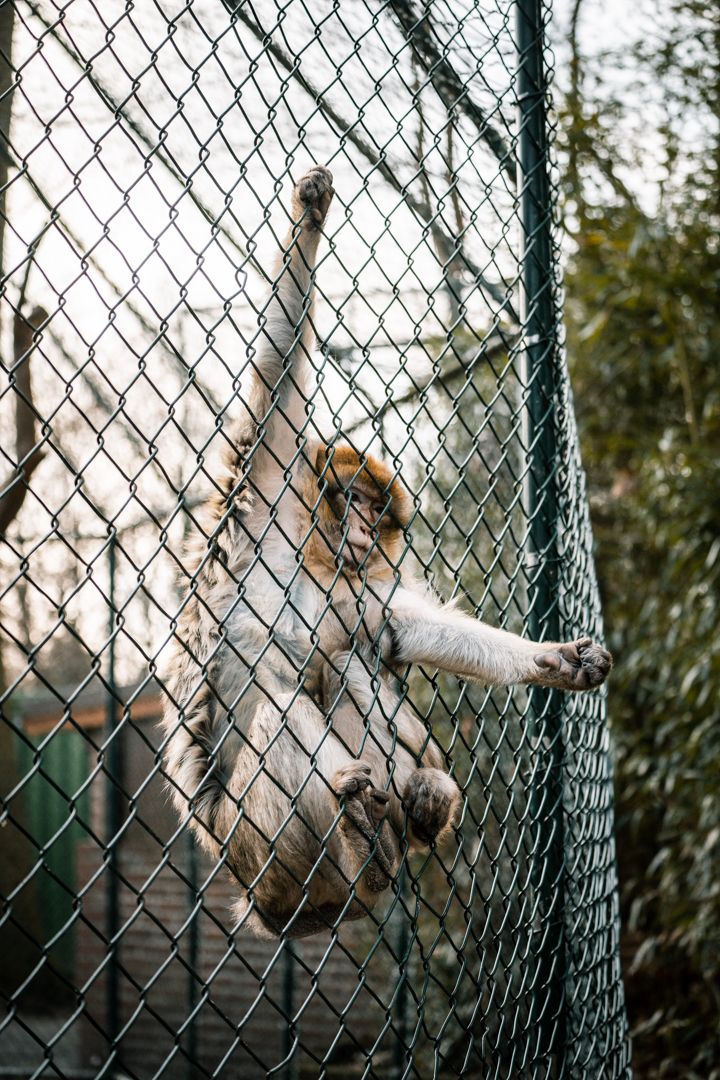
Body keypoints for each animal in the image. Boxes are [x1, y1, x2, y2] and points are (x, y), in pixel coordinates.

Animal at [160, 166, 612, 940]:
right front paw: (308, 213)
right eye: (359, 501)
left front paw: (552, 660)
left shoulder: (346, 581)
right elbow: (277, 379)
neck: (309, 564)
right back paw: (365, 852)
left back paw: (404, 825)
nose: (369, 531)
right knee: (285, 707)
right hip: (258, 840)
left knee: (347, 663)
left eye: (379, 511)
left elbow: (398, 630)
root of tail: (276, 908)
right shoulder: (262, 505)